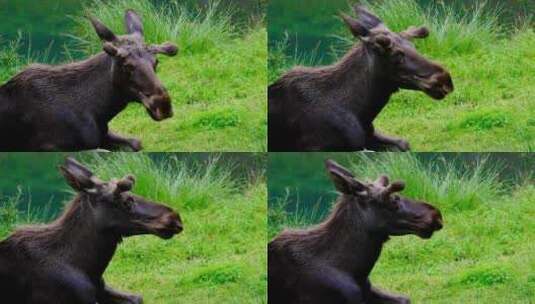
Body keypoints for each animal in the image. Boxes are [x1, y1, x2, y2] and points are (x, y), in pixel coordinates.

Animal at [0, 10, 178, 151]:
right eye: (127, 65)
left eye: (156, 62)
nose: (163, 105)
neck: (99, 111)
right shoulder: (50, 146)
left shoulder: (103, 135)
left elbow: (136, 143)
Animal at [270, 5, 454, 151]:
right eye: (395, 54)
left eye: (413, 46)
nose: (445, 80)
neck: (362, 113)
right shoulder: (316, 146)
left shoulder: (369, 135)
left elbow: (403, 144)